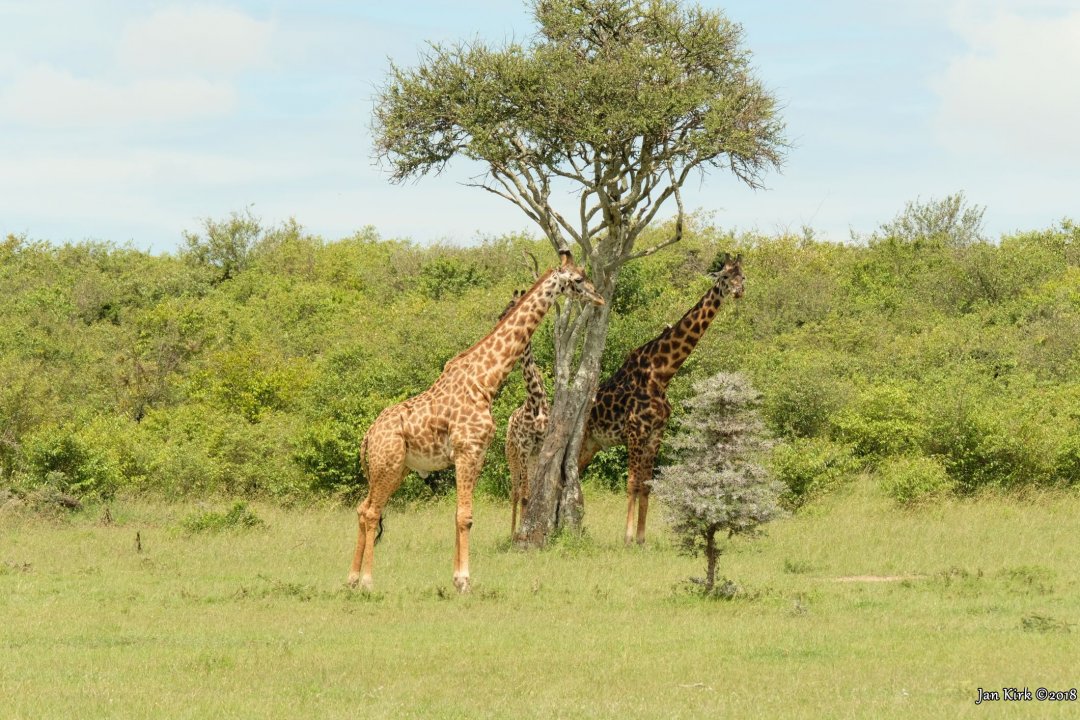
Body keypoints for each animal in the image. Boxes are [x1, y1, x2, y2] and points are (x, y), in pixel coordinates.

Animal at [349, 252, 604, 591]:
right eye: (578, 279)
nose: (599, 297)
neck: (486, 381)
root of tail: (368, 436)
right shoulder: (468, 450)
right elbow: (466, 517)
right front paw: (464, 581)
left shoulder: (475, 455)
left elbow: (460, 513)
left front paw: (457, 578)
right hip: (387, 465)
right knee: (371, 513)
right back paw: (366, 582)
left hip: (396, 468)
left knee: (364, 508)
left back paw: (351, 578)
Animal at [578, 252, 747, 539]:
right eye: (725, 275)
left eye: (743, 276)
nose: (738, 291)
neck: (661, 374)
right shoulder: (635, 432)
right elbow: (632, 483)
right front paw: (627, 537)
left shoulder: (656, 433)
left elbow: (646, 485)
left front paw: (641, 538)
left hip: (591, 445)